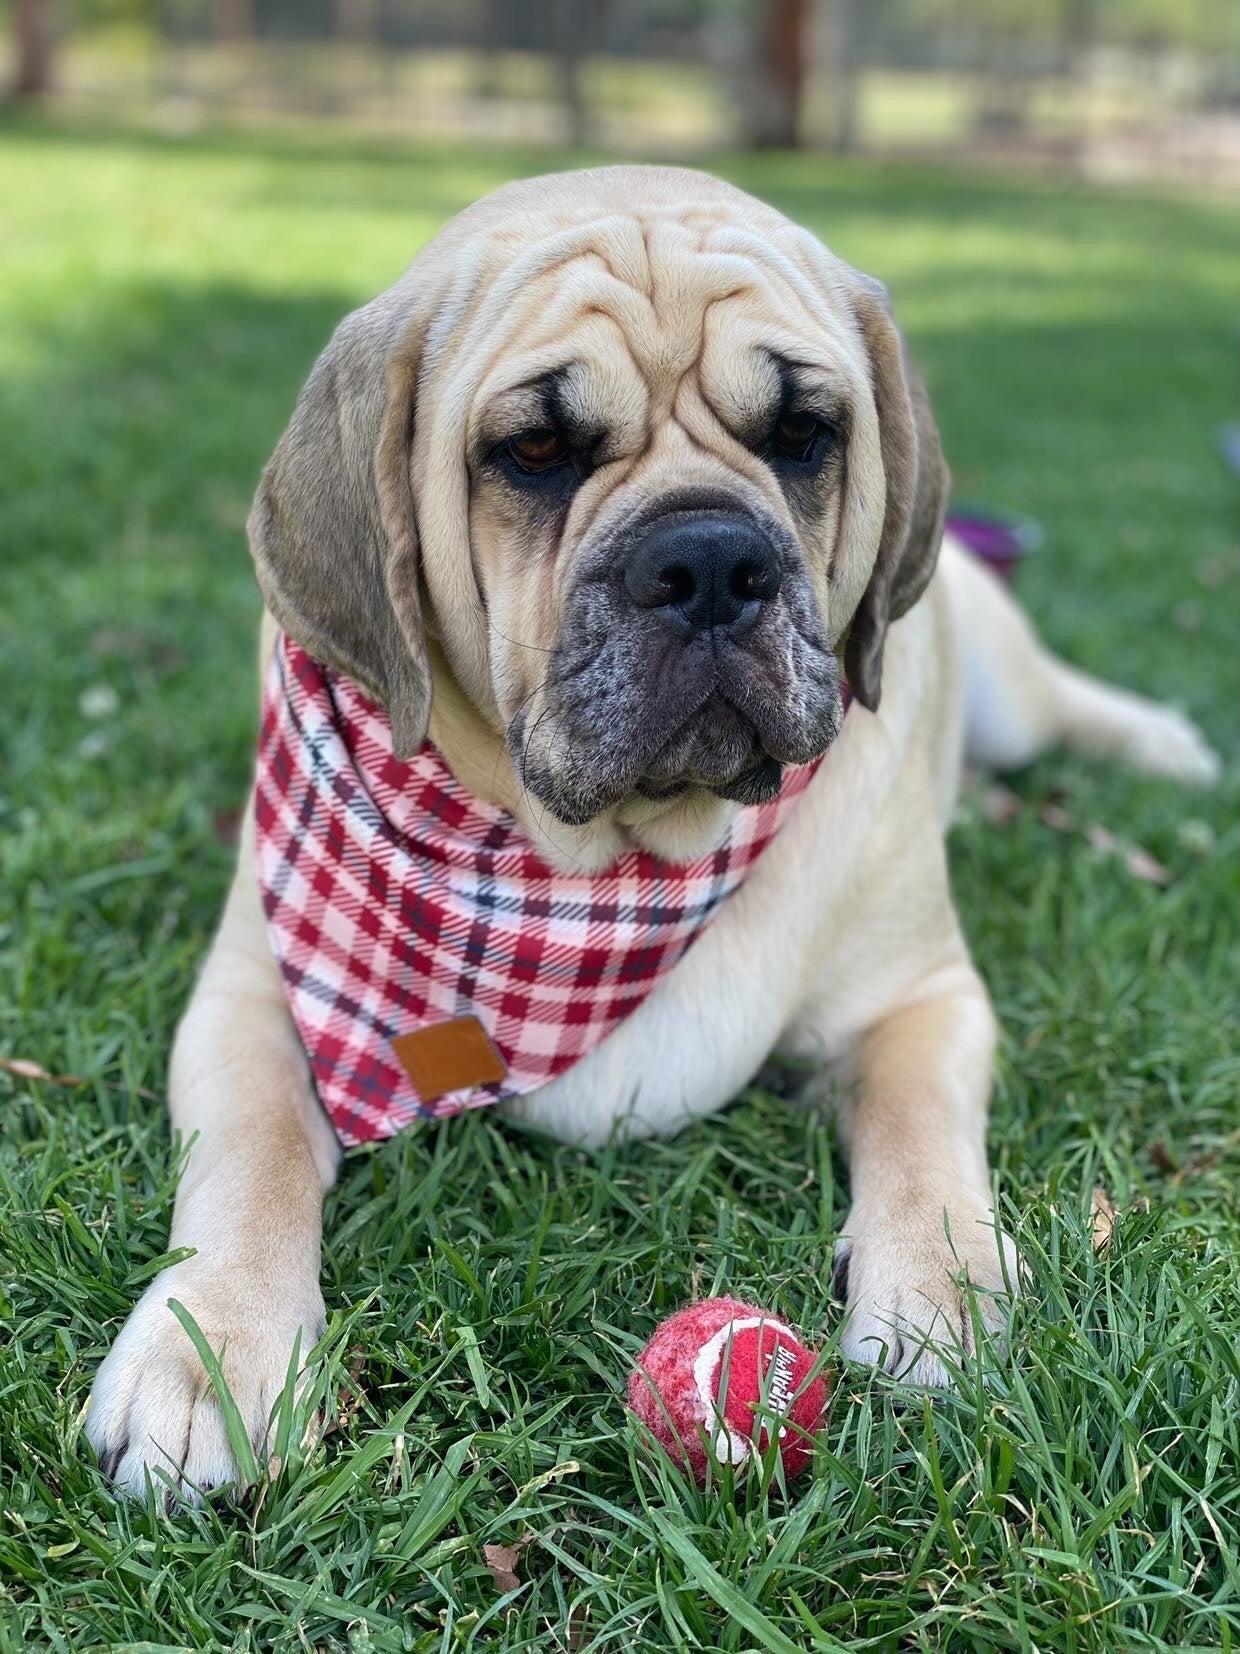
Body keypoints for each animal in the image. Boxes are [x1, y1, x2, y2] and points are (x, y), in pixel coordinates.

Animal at [87, 164, 1223, 1501]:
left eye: (802, 434)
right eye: (533, 450)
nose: (712, 558)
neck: (613, 863)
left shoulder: (921, 999)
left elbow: (921, 1134)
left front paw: (940, 1290)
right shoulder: (253, 999)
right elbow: (250, 1159)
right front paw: (209, 1344)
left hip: (1002, 680)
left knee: (1065, 707)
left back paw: (1164, 747)